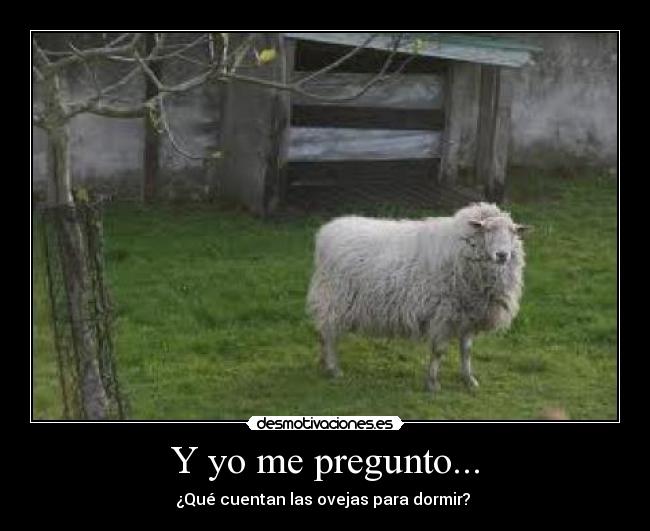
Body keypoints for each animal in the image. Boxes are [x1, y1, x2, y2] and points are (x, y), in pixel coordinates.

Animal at [306, 202, 530, 393]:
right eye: (487, 230)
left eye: (513, 232)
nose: (502, 255)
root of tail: (327, 231)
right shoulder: (444, 313)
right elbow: (439, 351)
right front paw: (432, 383)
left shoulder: (468, 315)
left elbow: (466, 351)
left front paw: (469, 380)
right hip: (335, 299)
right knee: (329, 334)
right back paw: (334, 368)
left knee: (324, 334)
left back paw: (324, 363)